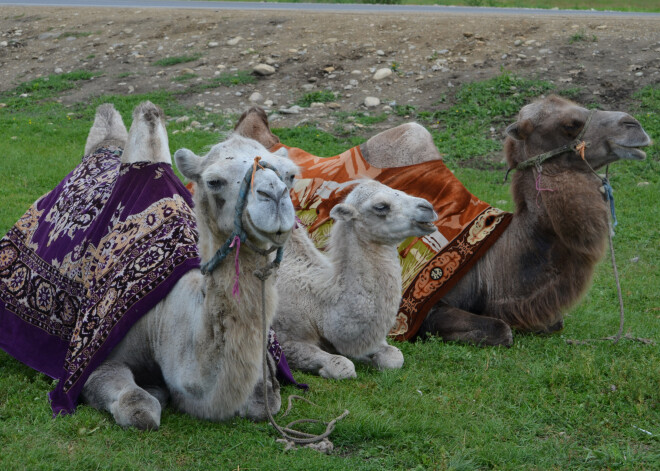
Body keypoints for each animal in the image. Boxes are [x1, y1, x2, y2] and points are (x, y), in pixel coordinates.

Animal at [81, 103, 298, 432]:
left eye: (290, 175)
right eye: (214, 181)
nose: (274, 196)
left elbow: (265, 402)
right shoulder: (101, 358)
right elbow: (140, 409)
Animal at [274, 180, 438, 380]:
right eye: (381, 206)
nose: (428, 207)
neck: (322, 306)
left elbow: (394, 357)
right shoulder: (285, 338)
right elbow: (343, 366)